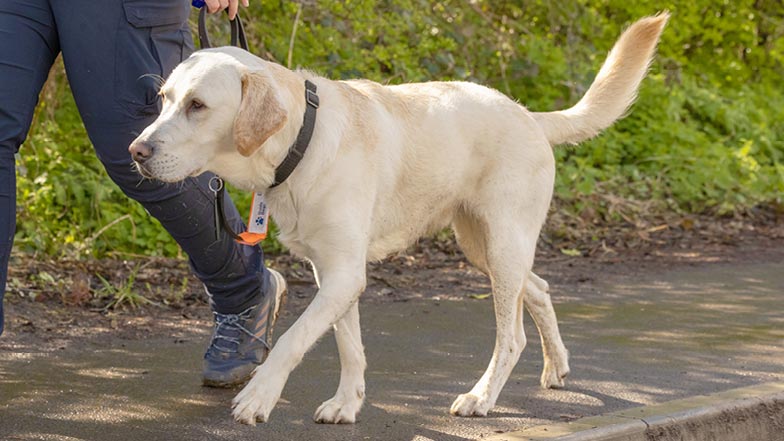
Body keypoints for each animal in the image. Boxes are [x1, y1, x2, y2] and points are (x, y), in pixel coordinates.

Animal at [129, 12, 668, 422]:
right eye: (164, 100)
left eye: (198, 105)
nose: (136, 151)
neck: (301, 140)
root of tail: (529, 115)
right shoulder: (333, 273)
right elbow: (348, 344)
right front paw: (347, 404)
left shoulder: (345, 274)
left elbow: (292, 339)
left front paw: (259, 397)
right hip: (484, 247)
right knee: (537, 288)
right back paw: (556, 365)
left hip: (502, 242)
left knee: (511, 334)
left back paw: (481, 397)